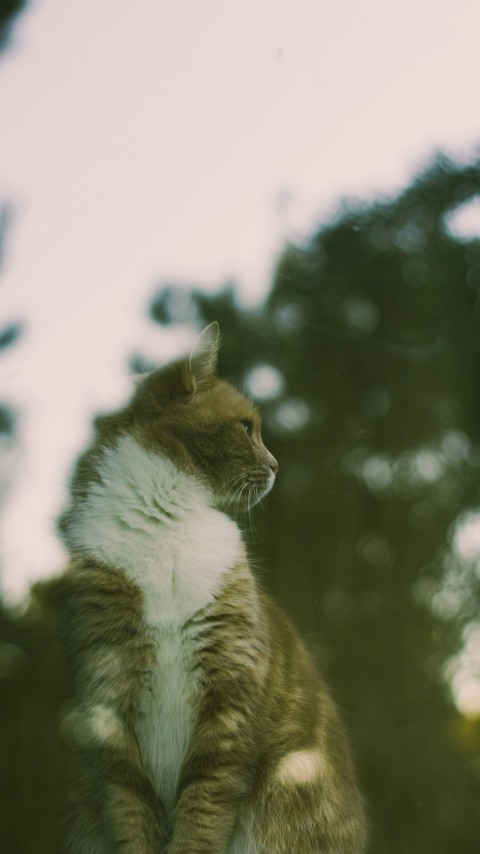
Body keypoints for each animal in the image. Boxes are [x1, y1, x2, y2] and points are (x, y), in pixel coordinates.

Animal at [53, 324, 368, 852]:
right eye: (245, 427)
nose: (277, 464)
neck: (164, 526)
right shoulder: (107, 697)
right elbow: (128, 807)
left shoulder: (229, 690)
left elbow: (204, 806)